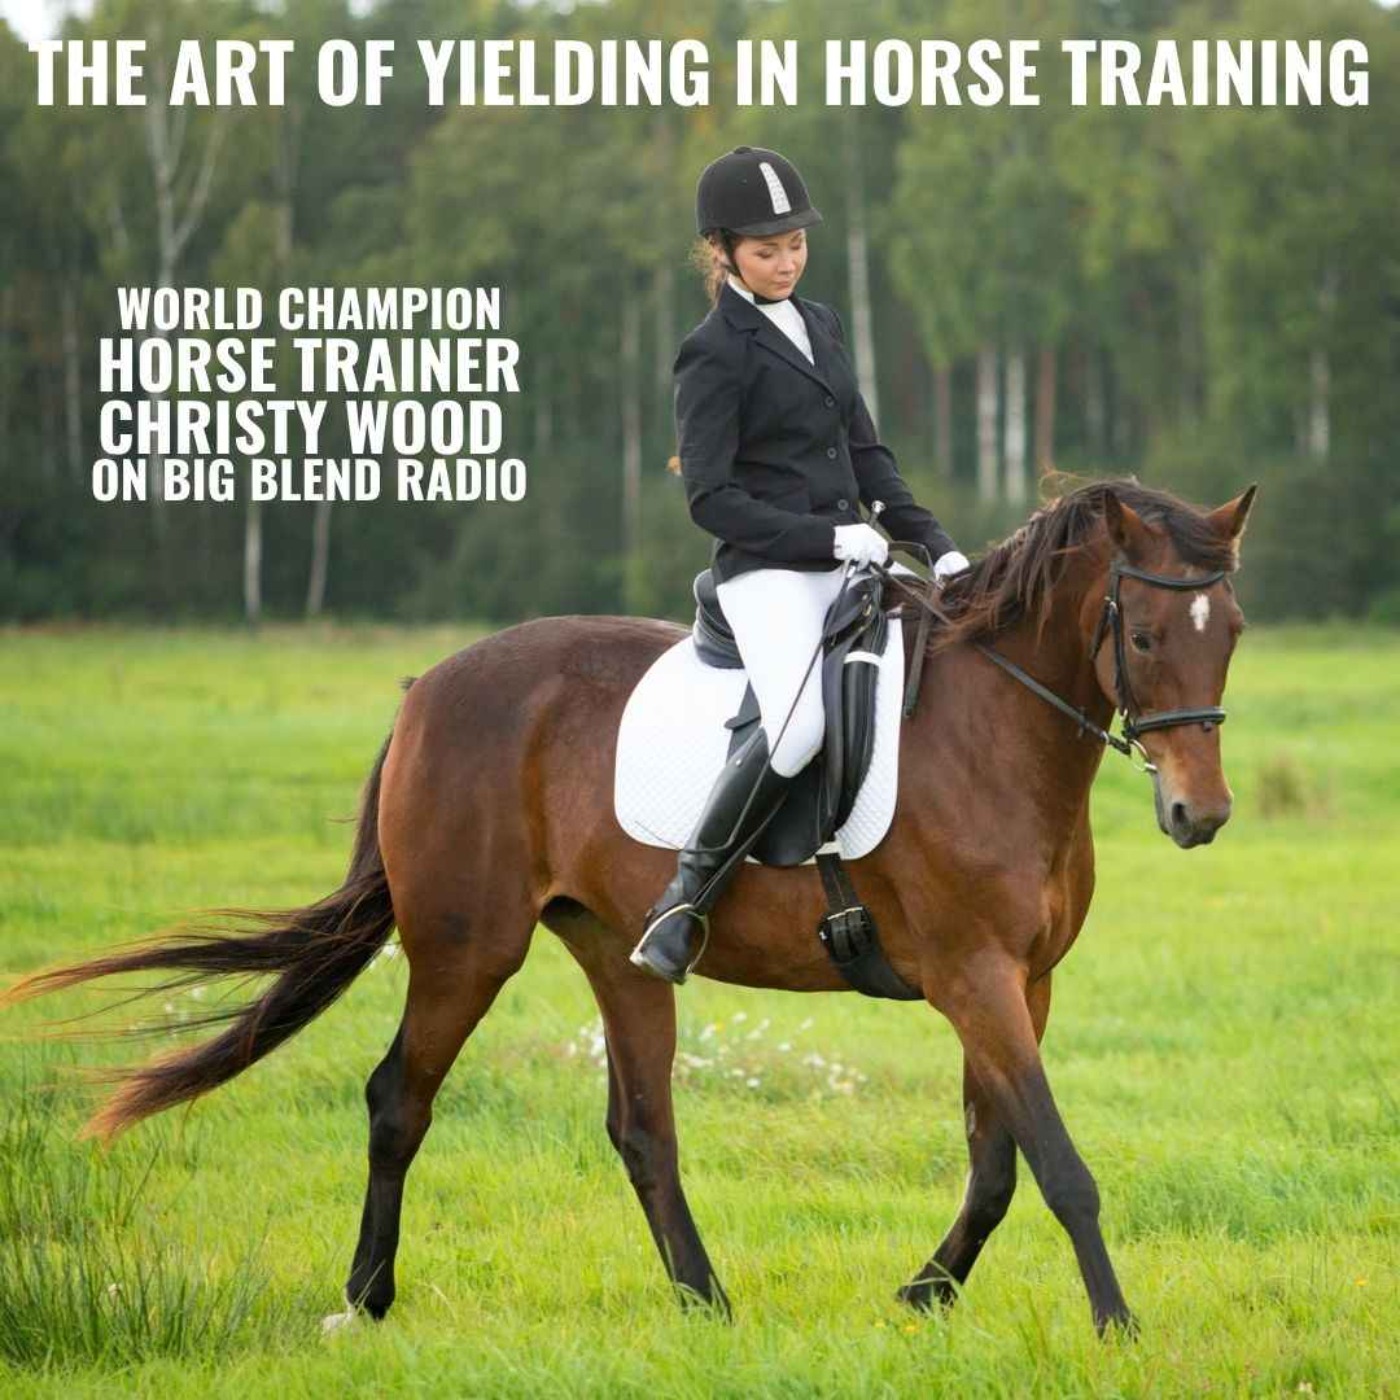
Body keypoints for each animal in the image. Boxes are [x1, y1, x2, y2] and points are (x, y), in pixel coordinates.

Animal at [6, 477, 1256, 1336]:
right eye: (1144, 634)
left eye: (1231, 633)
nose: (1198, 813)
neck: (994, 731)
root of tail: (424, 692)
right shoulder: (970, 975)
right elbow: (1055, 1159)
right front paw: (1116, 1323)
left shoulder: (1020, 981)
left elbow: (996, 1162)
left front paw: (922, 1292)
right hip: (466, 948)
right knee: (398, 1097)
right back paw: (363, 1298)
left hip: (614, 949)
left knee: (641, 1125)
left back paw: (705, 1301)